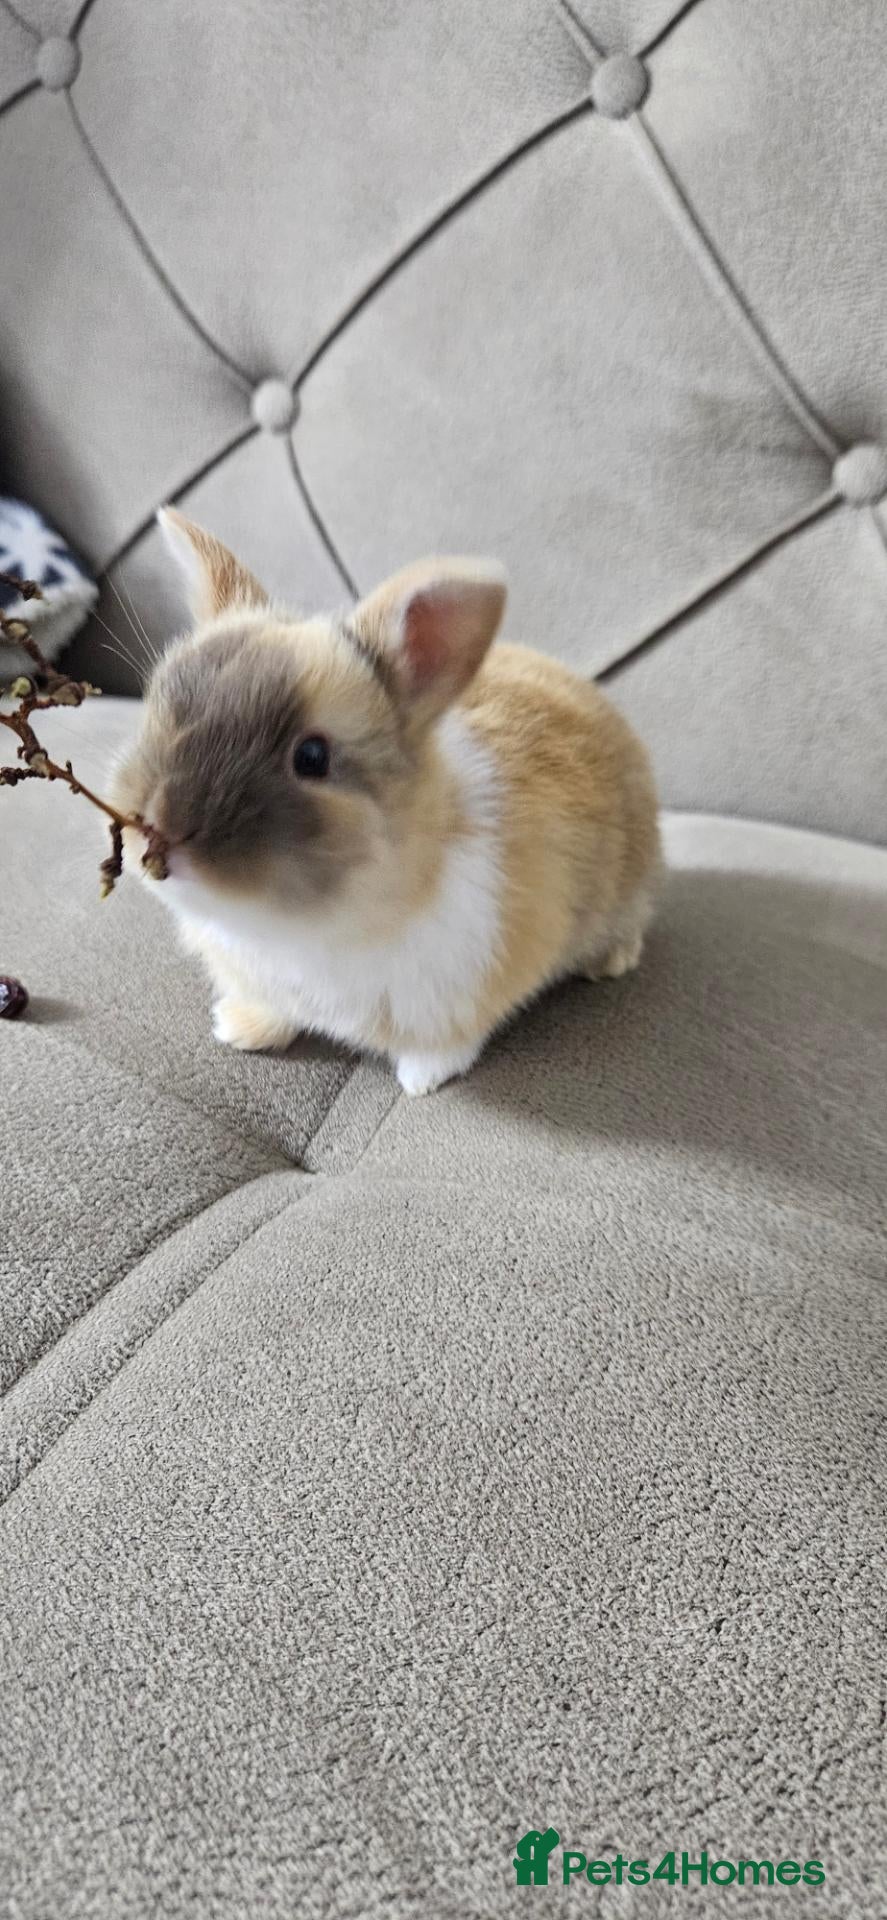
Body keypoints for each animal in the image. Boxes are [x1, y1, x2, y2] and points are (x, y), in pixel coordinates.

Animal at [111, 508, 661, 1096]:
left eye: (311, 757)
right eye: (158, 706)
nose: (157, 829)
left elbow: (450, 1043)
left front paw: (421, 1080)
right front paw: (240, 1029)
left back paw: (613, 961)